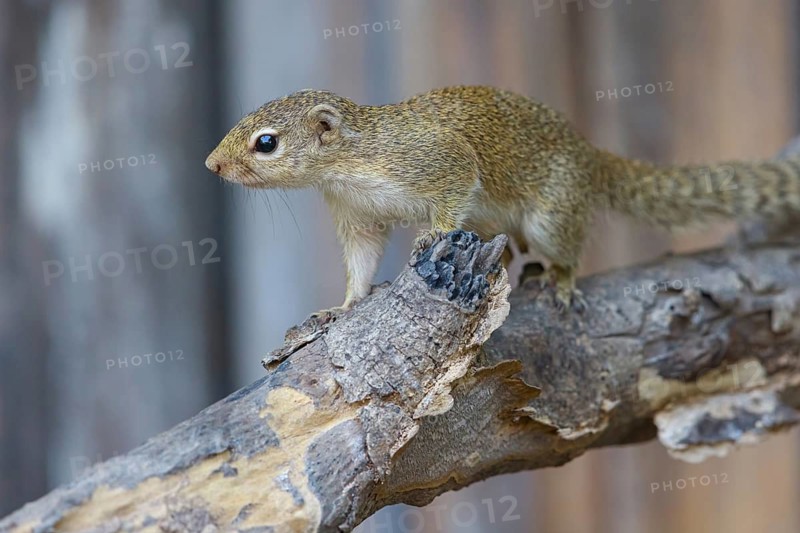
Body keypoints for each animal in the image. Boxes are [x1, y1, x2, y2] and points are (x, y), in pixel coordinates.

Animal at [205, 85, 800, 312]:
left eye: (266, 142)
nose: (212, 165)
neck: (349, 165)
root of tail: (590, 156)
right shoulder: (358, 217)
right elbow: (361, 260)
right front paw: (345, 305)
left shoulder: (435, 160)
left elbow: (455, 186)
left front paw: (430, 234)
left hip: (552, 214)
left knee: (565, 249)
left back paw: (561, 280)